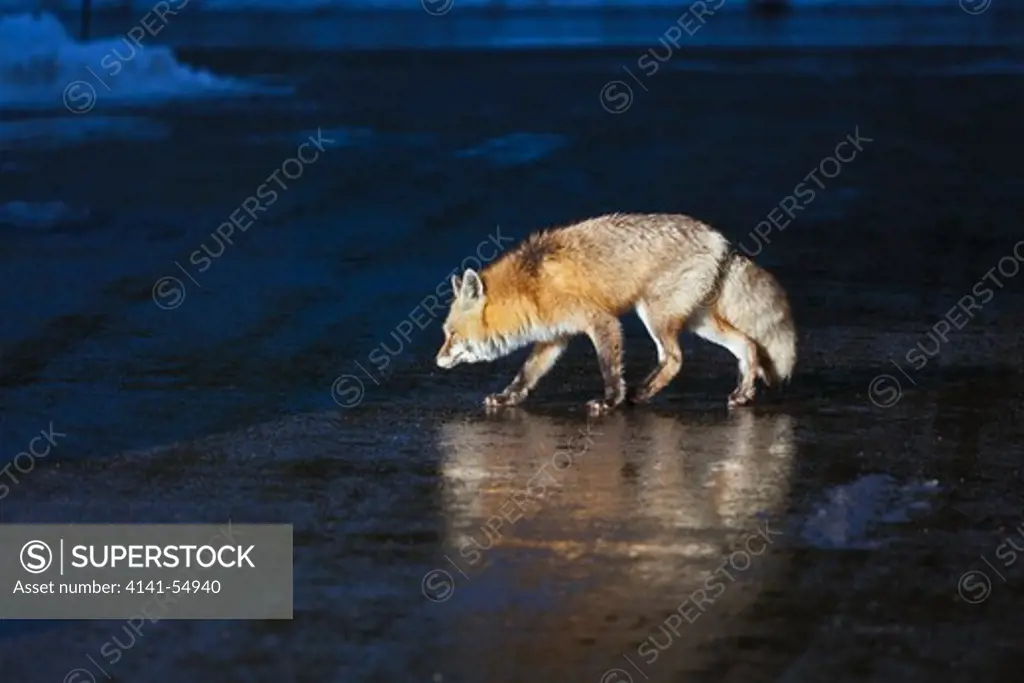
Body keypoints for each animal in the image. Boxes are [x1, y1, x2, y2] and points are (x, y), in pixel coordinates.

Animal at [436, 214, 794, 413]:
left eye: (451, 334)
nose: (437, 361)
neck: (529, 287)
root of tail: (720, 239)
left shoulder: (601, 321)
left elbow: (608, 367)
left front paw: (610, 401)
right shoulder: (554, 338)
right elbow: (526, 374)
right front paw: (507, 398)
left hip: (654, 314)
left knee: (674, 358)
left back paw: (639, 393)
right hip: (698, 321)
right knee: (746, 344)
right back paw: (742, 394)